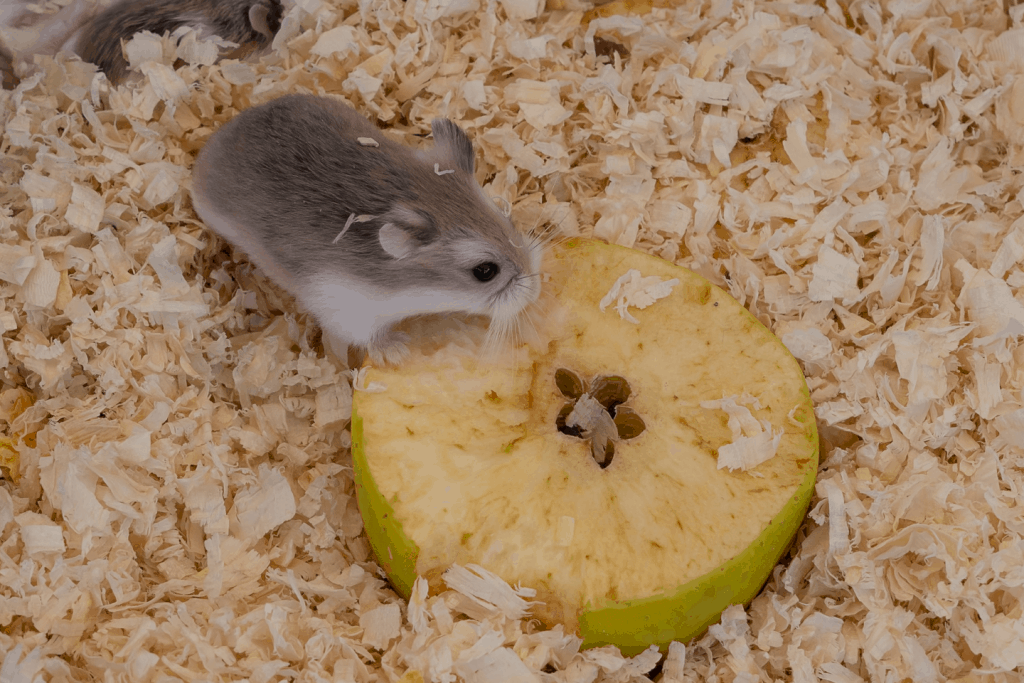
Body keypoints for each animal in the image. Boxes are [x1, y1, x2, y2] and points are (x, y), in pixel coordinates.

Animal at [190, 94, 544, 368]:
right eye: (485, 271)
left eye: (510, 223)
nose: (535, 292)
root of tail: (219, 136)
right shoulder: (346, 307)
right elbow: (370, 337)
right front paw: (398, 351)